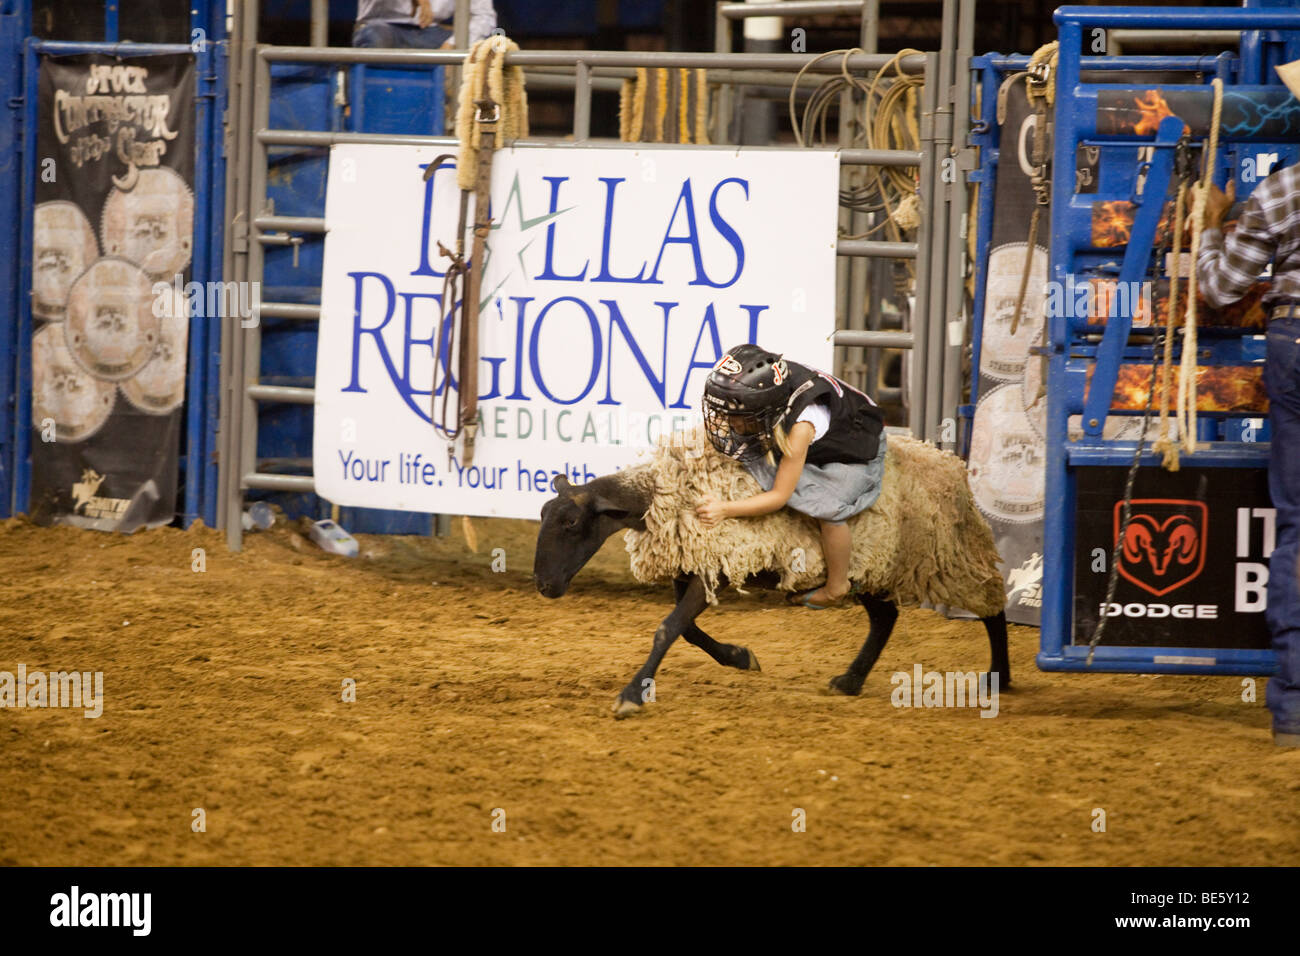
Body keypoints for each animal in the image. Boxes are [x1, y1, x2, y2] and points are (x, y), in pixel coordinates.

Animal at [533, 429, 1008, 717]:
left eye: (570, 523)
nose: (543, 585)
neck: (669, 492)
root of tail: (948, 461)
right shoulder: (694, 567)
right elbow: (686, 631)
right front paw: (740, 657)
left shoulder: (717, 563)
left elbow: (668, 629)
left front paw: (632, 695)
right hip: (875, 564)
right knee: (885, 619)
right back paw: (850, 681)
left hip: (948, 555)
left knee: (991, 606)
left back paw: (1000, 676)